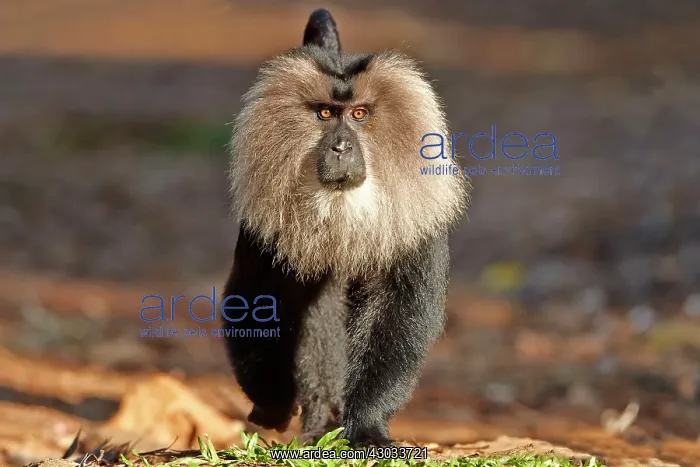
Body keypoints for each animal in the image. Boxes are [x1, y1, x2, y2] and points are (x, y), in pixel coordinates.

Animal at [221, 8, 471, 447]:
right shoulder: (265, 235)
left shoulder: (412, 228)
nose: (340, 147)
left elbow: (397, 315)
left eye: (359, 115)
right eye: (325, 114)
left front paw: (367, 426)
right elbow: (254, 301)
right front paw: (272, 406)